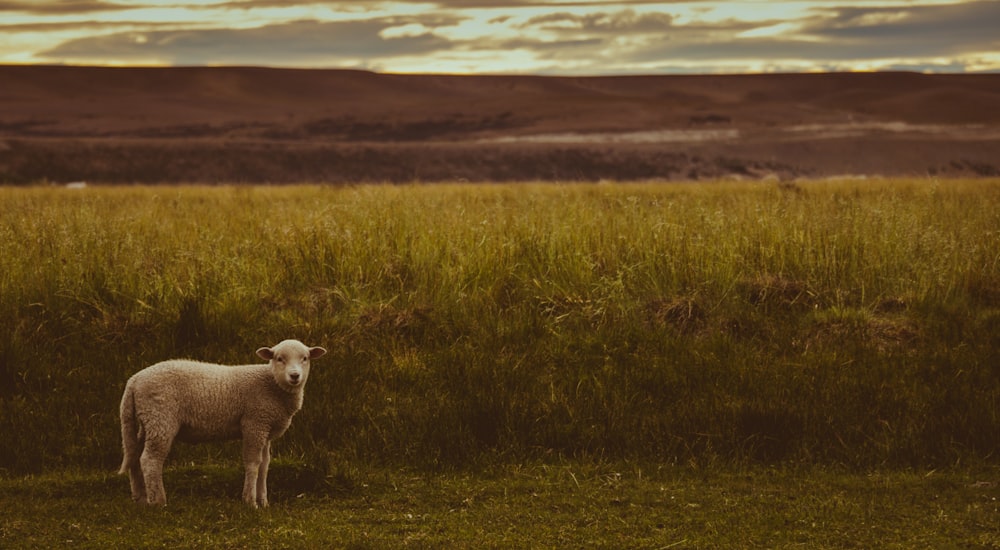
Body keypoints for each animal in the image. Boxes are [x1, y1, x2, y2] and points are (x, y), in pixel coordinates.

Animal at [119, 340, 326, 508]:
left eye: (305, 358)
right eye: (279, 358)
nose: (294, 376)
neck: (271, 384)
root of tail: (134, 380)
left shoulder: (265, 429)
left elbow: (264, 465)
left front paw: (264, 502)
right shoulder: (254, 423)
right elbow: (253, 463)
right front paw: (250, 502)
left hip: (147, 421)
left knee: (135, 456)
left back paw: (141, 498)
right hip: (161, 418)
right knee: (150, 460)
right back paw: (158, 502)